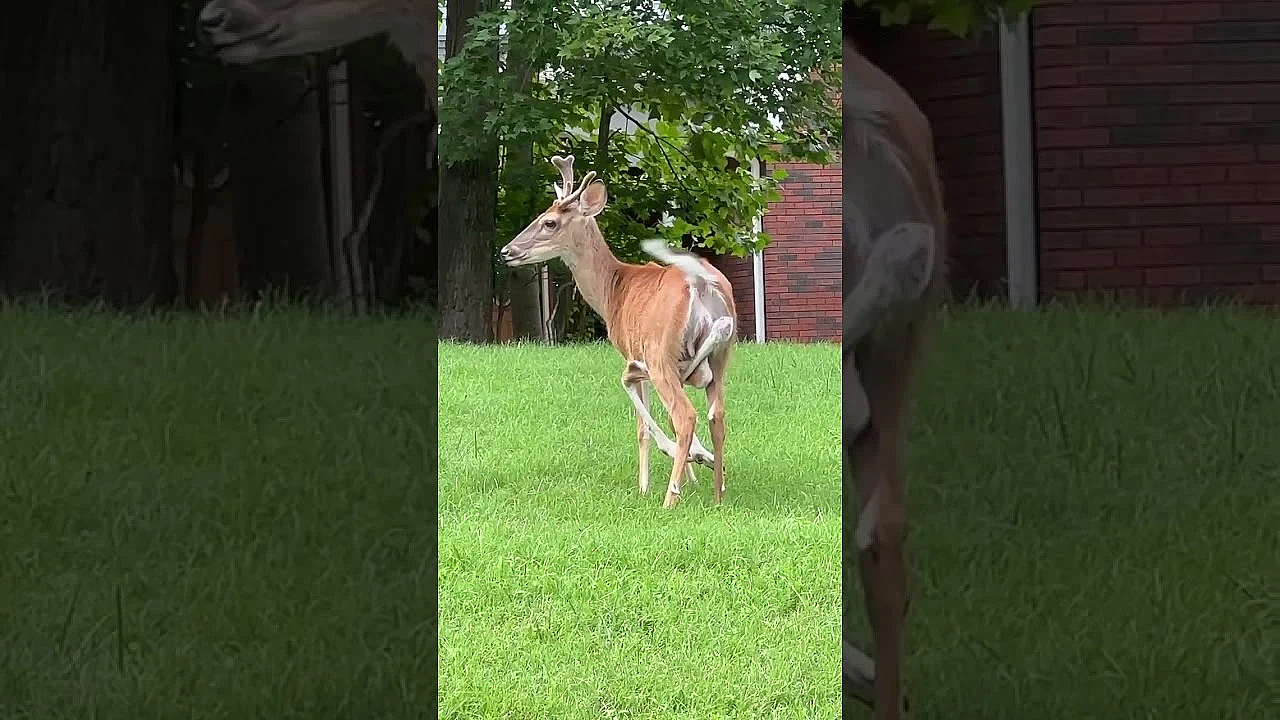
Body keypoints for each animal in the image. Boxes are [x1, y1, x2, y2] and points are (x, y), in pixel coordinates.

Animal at [500, 155, 737, 510]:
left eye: (550, 222)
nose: (506, 251)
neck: (613, 290)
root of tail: (701, 283)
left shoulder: (632, 352)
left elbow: (641, 425)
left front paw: (646, 485)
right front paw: (695, 467)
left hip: (660, 354)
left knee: (684, 415)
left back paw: (670, 497)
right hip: (721, 357)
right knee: (716, 416)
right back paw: (718, 493)